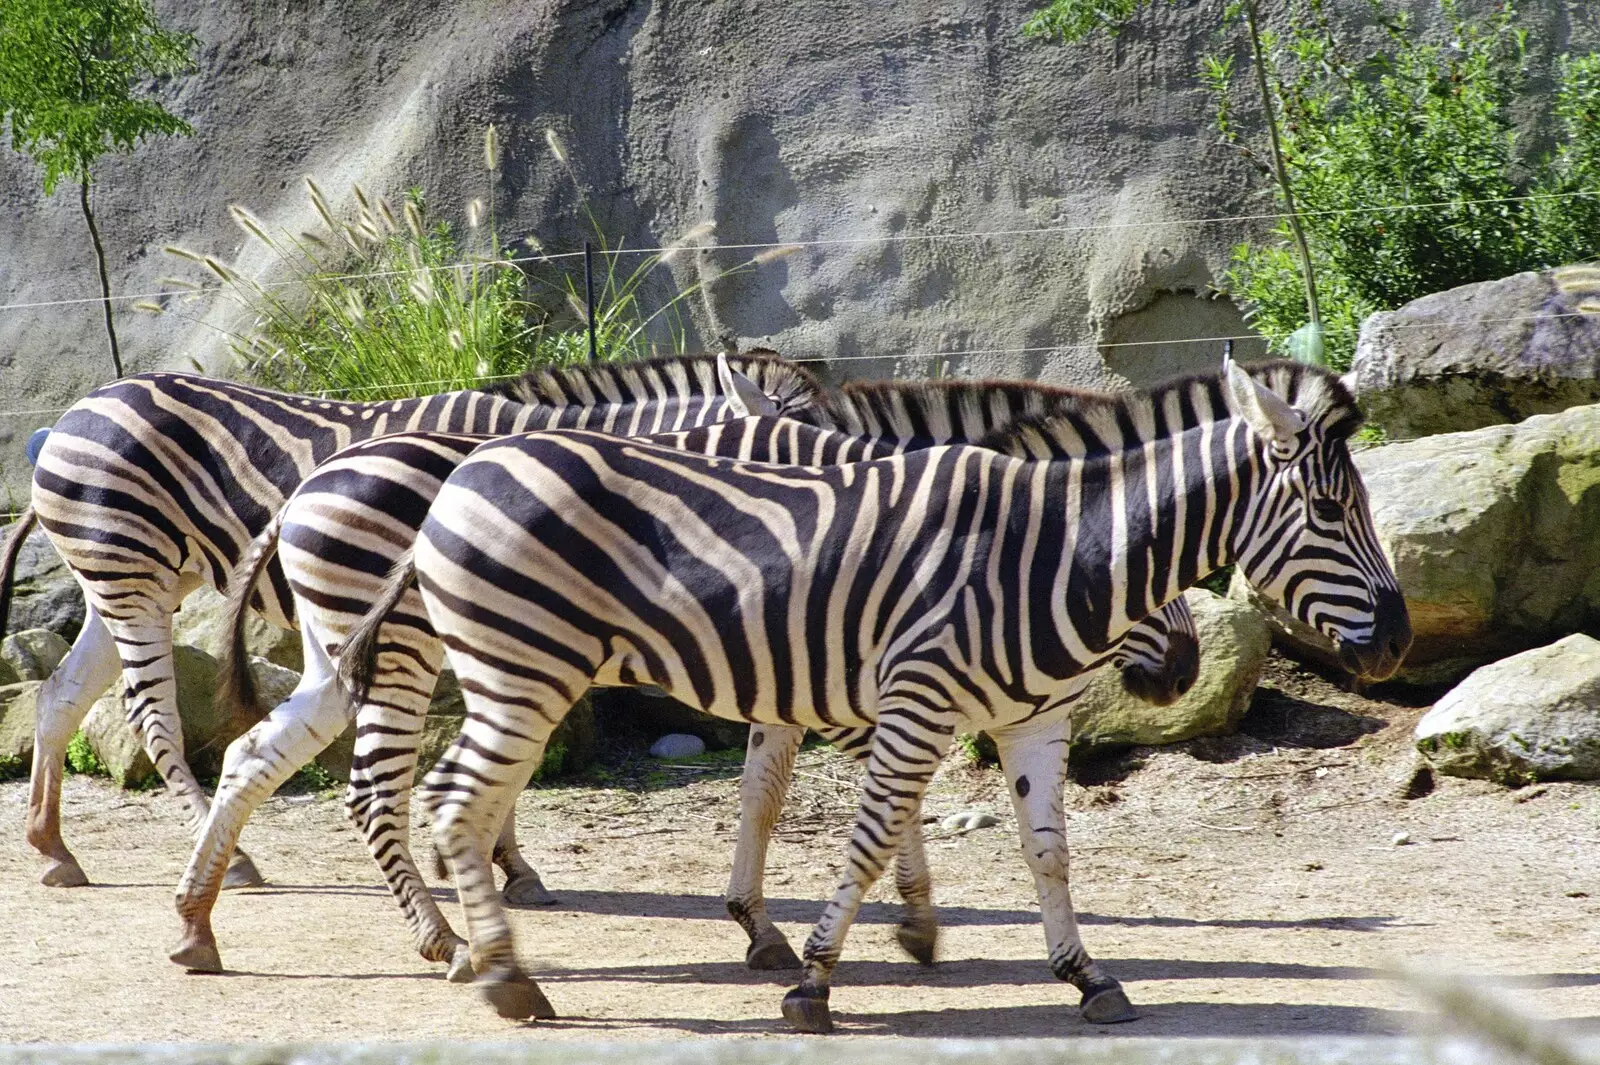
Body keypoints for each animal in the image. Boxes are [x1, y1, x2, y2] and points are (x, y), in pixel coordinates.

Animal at [0, 355, 819, 889]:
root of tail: (77, 410)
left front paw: (501, 863)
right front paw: (492, 864)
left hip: (130, 584)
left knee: (61, 694)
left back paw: (52, 849)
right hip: (132, 578)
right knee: (150, 714)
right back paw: (230, 859)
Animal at [172, 370, 1203, 978]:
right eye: (1136, 564)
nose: (1186, 673)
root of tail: (310, 485)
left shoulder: (797, 667)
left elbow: (764, 794)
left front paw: (771, 925)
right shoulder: (846, 668)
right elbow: (866, 795)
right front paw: (900, 924)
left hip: (339, 652)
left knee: (258, 757)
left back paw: (200, 926)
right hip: (400, 651)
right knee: (375, 787)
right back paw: (447, 938)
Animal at [344, 358, 1408, 1029]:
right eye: (1330, 508)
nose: (1400, 641)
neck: (1049, 550)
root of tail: (466, 469)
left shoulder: (1031, 723)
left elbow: (1048, 854)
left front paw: (1086, 976)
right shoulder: (913, 700)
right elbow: (866, 837)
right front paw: (815, 983)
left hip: (512, 671)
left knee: (446, 801)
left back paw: (488, 956)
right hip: (521, 668)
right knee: (446, 801)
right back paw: (501, 977)